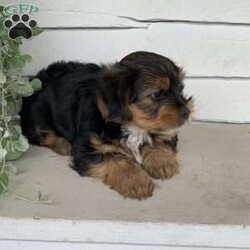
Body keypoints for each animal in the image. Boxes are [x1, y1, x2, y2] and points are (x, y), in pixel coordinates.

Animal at [21, 50, 193, 199]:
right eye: (157, 94)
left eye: (180, 88)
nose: (187, 112)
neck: (131, 126)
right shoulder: (87, 148)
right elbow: (113, 159)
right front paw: (135, 180)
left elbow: (160, 138)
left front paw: (162, 162)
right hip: (37, 111)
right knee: (39, 134)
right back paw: (63, 144)